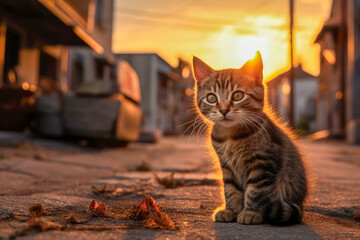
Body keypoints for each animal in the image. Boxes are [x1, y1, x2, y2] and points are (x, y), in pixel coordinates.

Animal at [193, 52, 308, 225]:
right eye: (211, 98)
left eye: (238, 95)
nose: (224, 110)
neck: (231, 137)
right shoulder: (226, 166)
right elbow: (230, 189)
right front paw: (231, 210)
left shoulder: (263, 163)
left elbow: (256, 191)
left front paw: (250, 212)